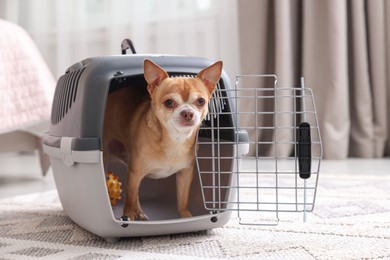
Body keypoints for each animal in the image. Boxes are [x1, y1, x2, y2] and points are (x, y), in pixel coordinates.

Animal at [103, 58, 222, 219]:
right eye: (169, 102)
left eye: (201, 101)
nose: (187, 113)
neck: (175, 139)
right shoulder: (135, 174)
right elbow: (129, 201)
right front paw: (128, 217)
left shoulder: (185, 174)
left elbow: (183, 198)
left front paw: (185, 216)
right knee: (131, 194)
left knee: (135, 195)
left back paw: (139, 212)